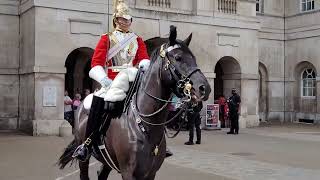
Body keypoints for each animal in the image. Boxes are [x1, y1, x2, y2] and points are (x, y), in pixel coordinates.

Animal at [58, 25, 211, 180]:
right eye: (178, 58)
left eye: (194, 58)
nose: (204, 88)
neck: (145, 124)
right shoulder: (128, 172)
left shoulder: (151, 173)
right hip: (84, 158)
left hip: (108, 161)